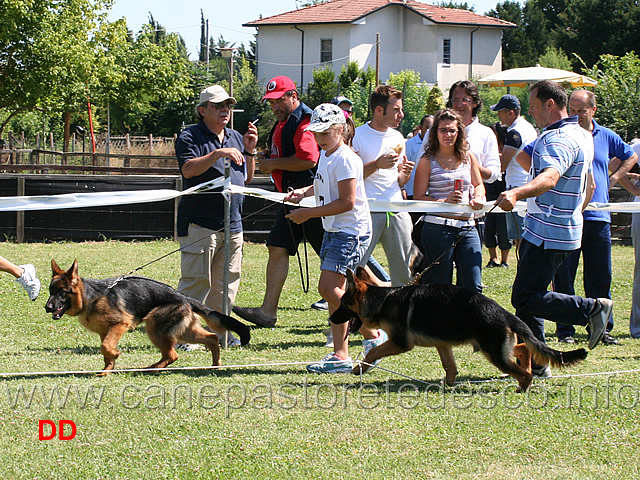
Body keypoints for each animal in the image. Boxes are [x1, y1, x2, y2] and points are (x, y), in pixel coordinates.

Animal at [44, 258, 250, 376]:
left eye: (61, 292)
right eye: (50, 291)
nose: (47, 307)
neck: (90, 297)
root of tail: (184, 297)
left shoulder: (120, 324)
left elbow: (106, 347)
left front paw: (115, 355)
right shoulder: (105, 331)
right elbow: (105, 352)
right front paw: (106, 370)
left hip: (154, 325)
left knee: (172, 354)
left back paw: (154, 368)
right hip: (184, 332)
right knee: (212, 338)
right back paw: (215, 365)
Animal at [332, 266, 588, 394]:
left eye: (343, 304)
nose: (332, 319)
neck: (383, 300)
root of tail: (504, 313)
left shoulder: (401, 343)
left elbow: (374, 352)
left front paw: (359, 368)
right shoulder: (442, 345)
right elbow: (450, 367)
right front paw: (448, 385)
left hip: (494, 352)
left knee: (523, 372)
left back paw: (521, 388)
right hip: (496, 347)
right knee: (524, 349)